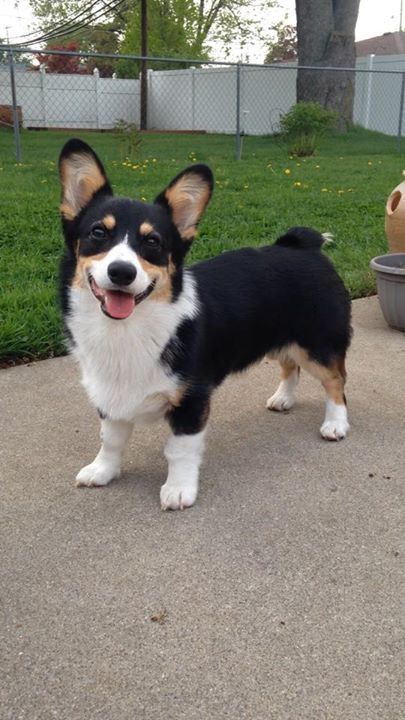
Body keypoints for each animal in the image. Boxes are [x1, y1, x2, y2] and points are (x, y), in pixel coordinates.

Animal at [57, 139, 350, 512]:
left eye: (152, 242)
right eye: (98, 232)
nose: (122, 272)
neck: (127, 329)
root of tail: (305, 246)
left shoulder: (192, 400)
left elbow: (179, 450)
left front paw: (179, 489)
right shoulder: (110, 394)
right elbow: (110, 439)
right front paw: (102, 471)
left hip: (318, 345)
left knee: (335, 381)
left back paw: (336, 423)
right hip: (278, 338)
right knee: (289, 366)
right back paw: (283, 399)